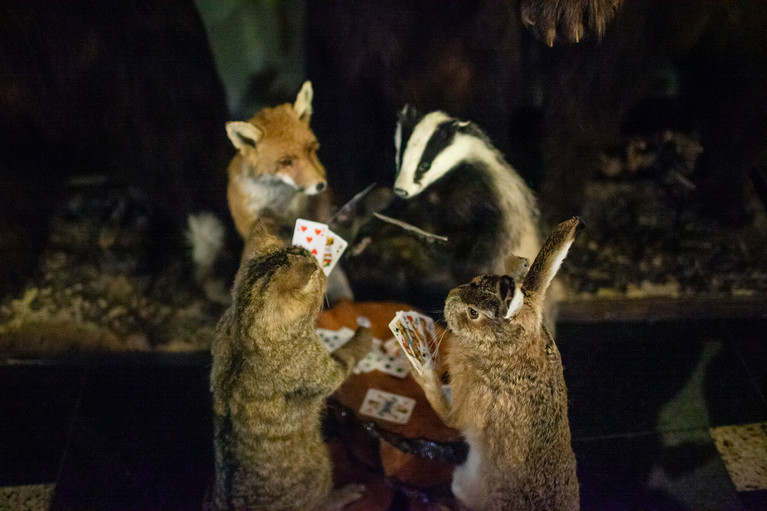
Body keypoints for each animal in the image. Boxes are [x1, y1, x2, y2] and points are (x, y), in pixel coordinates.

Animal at [414, 217, 584, 511]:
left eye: (473, 313)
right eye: (478, 280)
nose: (449, 299)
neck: (504, 346)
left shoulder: (475, 396)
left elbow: (450, 417)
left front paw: (422, 372)